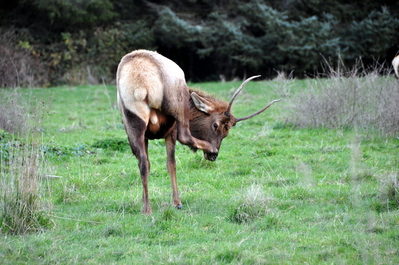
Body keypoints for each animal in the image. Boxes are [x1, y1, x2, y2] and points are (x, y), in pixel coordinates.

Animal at [116, 49, 282, 213]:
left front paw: (144, 201)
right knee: (184, 136)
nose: (213, 156)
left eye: (226, 133)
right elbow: (171, 164)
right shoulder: (171, 131)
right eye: (216, 125)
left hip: (132, 121)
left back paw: (147, 209)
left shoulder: (145, 136)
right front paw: (176, 202)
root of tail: (142, 83)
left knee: (142, 163)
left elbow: (149, 164)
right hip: (177, 106)